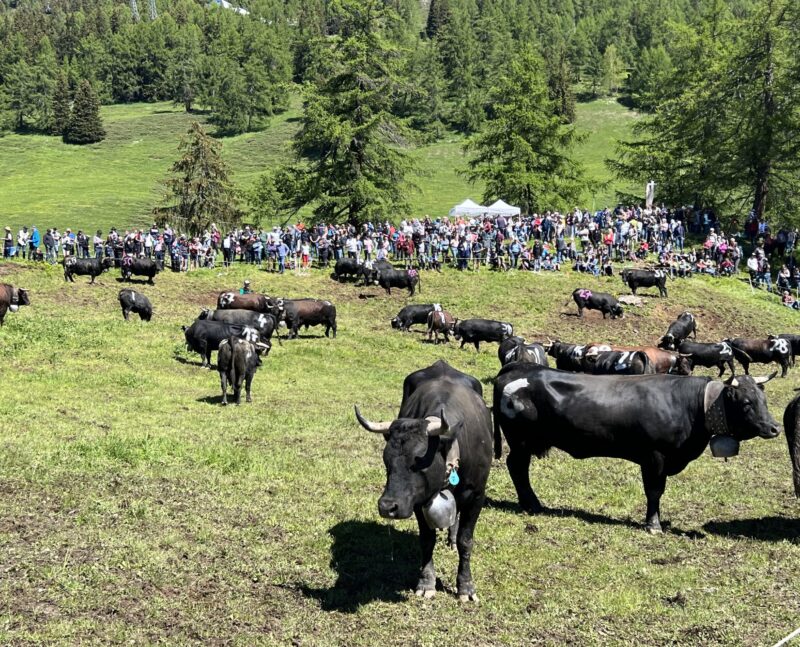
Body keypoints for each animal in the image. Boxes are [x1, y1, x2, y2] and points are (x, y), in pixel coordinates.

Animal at [354, 360, 490, 604]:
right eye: (386, 461)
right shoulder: (417, 500)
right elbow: (427, 540)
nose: (387, 507)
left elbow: (466, 541)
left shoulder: (477, 495)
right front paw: (426, 583)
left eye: (419, 463)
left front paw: (466, 587)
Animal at [490, 364, 780, 532]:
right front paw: (653, 524)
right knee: (517, 468)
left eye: (763, 399)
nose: (774, 428)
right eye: (746, 402)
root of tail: (514, 370)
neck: (691, 404)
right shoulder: (655, 457)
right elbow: (654, 491)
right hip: (521, 441)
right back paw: (532, 504)